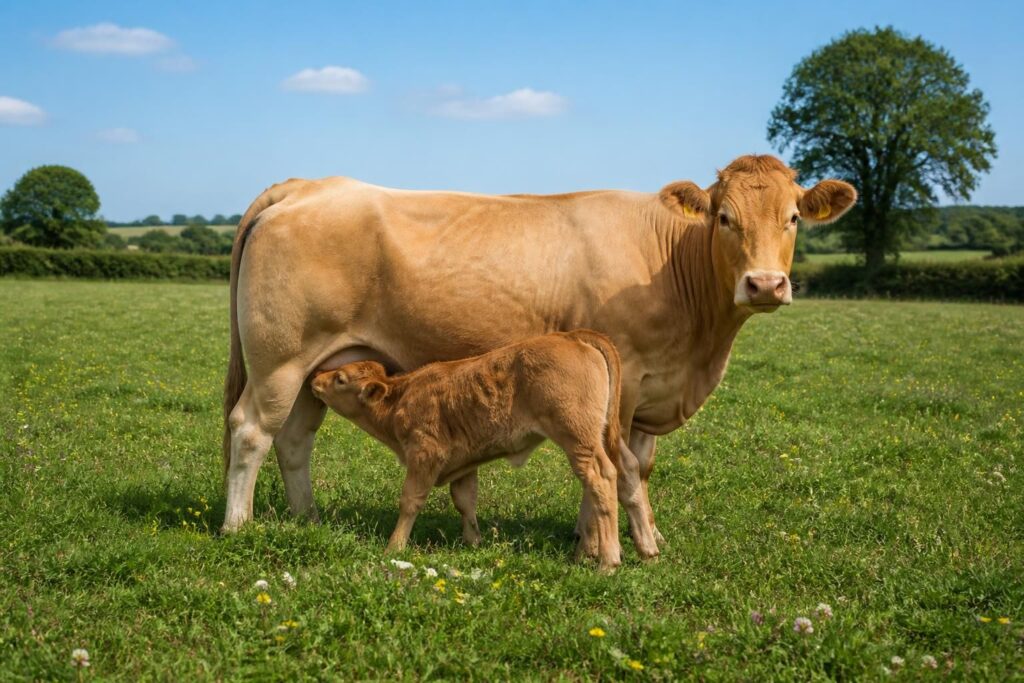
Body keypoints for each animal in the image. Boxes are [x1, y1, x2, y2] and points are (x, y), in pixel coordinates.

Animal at [310, 330, 637, 569]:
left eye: (340, 378)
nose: (315, 379)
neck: (400, 399)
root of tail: (572, 336)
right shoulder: (463, 462)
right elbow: (465, 500)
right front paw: (472, 541)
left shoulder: (425, 453)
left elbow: (411, 500)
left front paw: (394, 546)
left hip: (577, 437)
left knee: (601, 478)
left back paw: (608, 561)